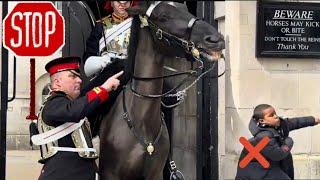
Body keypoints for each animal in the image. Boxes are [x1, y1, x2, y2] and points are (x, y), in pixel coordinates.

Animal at [97, 1, 225, 180]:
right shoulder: (110, 174)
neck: (142, 122)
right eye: (163, 16)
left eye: (186, 10)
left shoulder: (155, 174)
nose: (216, 39)